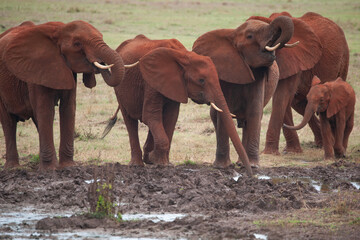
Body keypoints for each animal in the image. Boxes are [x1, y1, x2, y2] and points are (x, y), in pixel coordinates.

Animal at [0, 20, 126, 171]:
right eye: (77, 44)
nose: (101, 63)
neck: (58, 30)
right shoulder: (36, 69)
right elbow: (45, 110)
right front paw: (50, 169)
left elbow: (68, 108)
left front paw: (68, 167)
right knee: (9, 122)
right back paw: (13, 168)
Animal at [193, 15, 294, 167]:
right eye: (250, 36)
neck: (233, 33)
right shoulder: (224, 75)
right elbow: (224, 114)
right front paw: (222, 167)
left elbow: (254, 112)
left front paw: (253, 166)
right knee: (215, 116)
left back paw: (242, 163)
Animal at [248, 11, 348, 156]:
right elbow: (283, 99)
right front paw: (291, 151)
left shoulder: (295, 59)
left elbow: (282, 96)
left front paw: (270, 153)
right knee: (298, 103)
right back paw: (321, 144)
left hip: (344, 58)